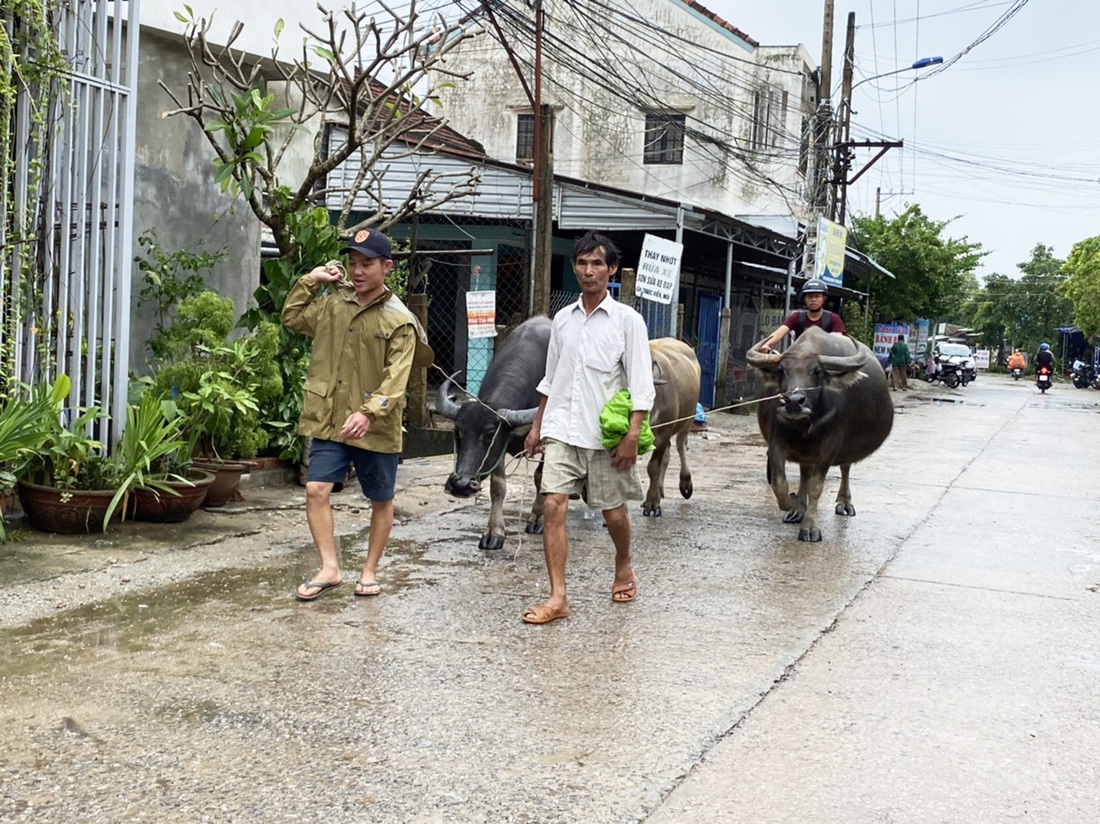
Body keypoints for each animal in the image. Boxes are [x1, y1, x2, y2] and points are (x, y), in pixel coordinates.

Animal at [431, 319, 547, 550]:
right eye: (458, 432)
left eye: (490, 434)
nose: (460, 485)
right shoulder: (500, 449)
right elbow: (498, 487)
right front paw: (494, 532)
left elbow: (541, 477)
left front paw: (538, 517)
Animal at [642, 336, 699, 517]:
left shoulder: (662, 433)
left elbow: (653, 467)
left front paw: (652, 503)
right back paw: (660, 489)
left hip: (688, 418)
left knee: (681, 446)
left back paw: (685, 483)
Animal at [748, 325, 893, 543]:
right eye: (782, 370)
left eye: (816, 371)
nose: (793, 401)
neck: (804, 424)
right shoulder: (777, 444)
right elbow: (780, 484)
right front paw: (794, 505)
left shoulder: (830, 448)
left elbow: (816, 486)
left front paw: (810, 527)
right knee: (804, 473)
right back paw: (798, 510)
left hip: (844, 448)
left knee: (844, 468)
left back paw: (844, 503)